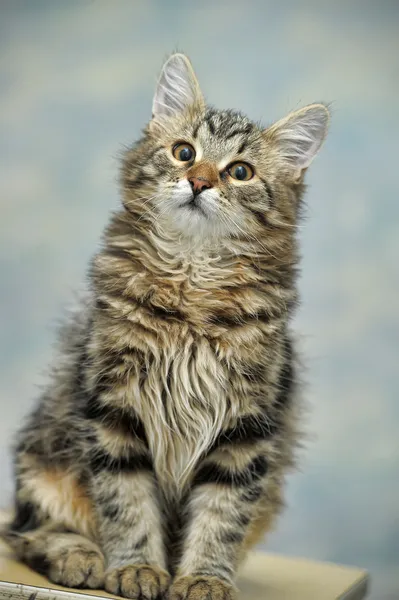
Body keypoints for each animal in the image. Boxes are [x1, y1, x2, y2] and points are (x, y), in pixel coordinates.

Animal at [1, 52, 330, 600]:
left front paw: (202, 578)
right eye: (184, 152)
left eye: (239, 172)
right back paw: (80, 558)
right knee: (29, 532)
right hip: (42, 459)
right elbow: (128, 504)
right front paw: (137, 568)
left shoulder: (247, 427)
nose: (199, 181)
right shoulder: (113, 406)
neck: (192, 281)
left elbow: (220, 517)